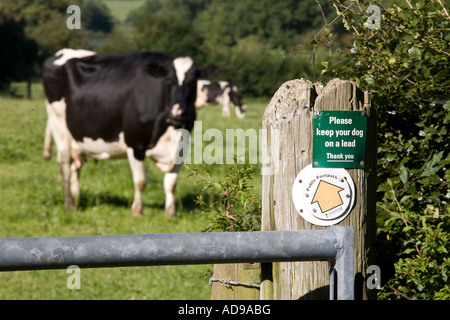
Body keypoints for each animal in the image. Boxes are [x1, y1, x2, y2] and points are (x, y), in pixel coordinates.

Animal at [41, 48, 221, 218]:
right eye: (169, 80)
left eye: (192, 81)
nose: (178, 112)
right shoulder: (135, 144)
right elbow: (141, 181)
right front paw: (137, 211)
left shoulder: (182, 146)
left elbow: (171, 183)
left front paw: (171, 214)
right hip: (59, 126)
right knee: (64, 165)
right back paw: (70, 204)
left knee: (75, 167)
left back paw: (77, 198)